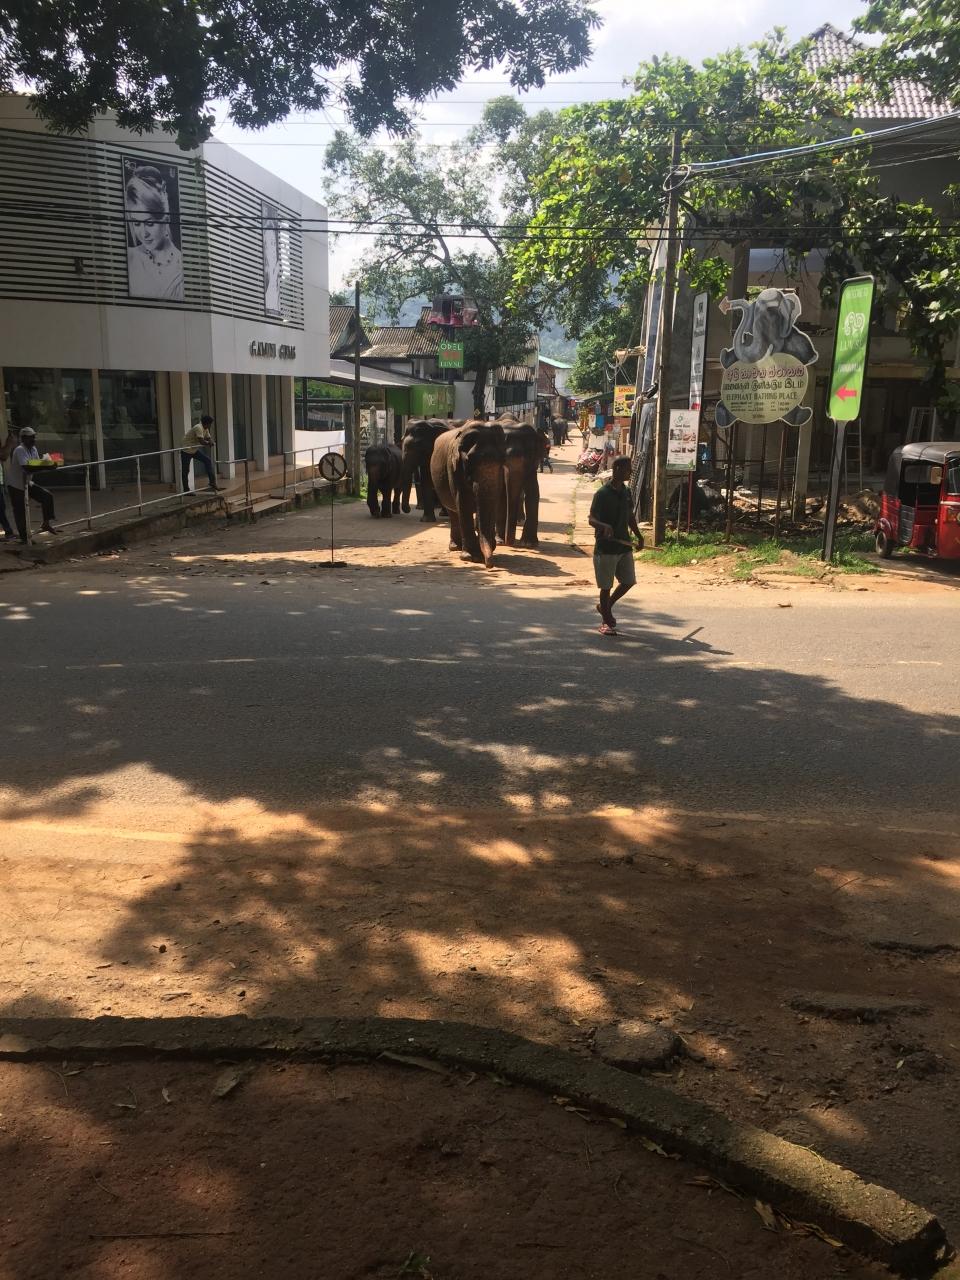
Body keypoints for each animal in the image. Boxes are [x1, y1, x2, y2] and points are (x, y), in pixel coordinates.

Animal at [430, 419, 507, 567]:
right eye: (469, 460)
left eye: (502, 460)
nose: (489, 565)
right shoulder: (453, 467)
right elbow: (463, 502)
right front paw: (471, 557)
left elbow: (493, 500)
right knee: (453, 513)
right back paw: (455, 547)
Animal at [495, 418, 550, 547]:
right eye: (502, 458)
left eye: (528, 456)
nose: (509, 543)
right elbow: (500, 493)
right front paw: (499, 541)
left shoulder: (532, 465)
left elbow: (533, 492)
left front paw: (528, 544)